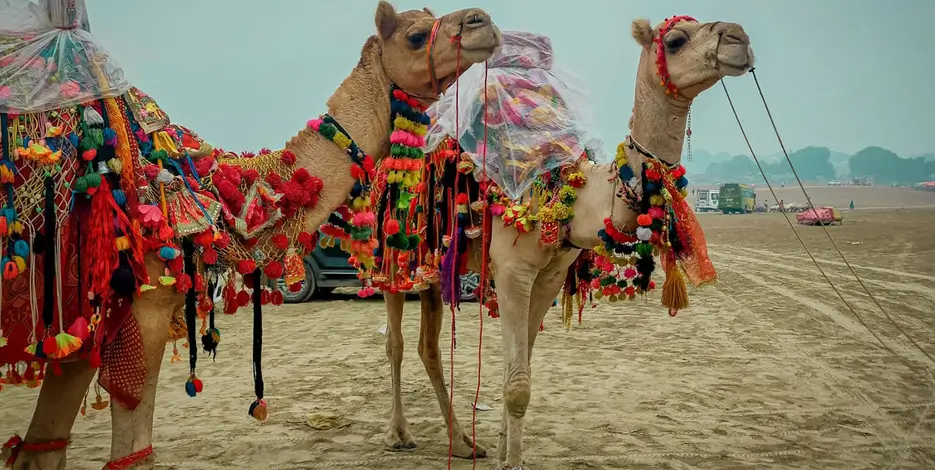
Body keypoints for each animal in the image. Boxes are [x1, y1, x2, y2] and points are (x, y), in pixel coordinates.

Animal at [2, 2, 500, 469]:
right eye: (416, 36)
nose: (483, 21)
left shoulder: (76, 333)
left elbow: (41, 451)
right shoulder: (145, 301)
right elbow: (131, 453)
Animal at [375, 17, 754, 469]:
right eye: (677, 40)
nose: (739, 38)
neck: (575, 194)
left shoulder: (550, 275)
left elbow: (519, 369)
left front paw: (500, 450)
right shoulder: (513, 270)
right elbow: (517, 384)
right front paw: (512, 462)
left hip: (434, 267)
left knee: (427, 347)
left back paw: (466, 443)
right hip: (394, 254)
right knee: (395, 343)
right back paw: (398, 434)